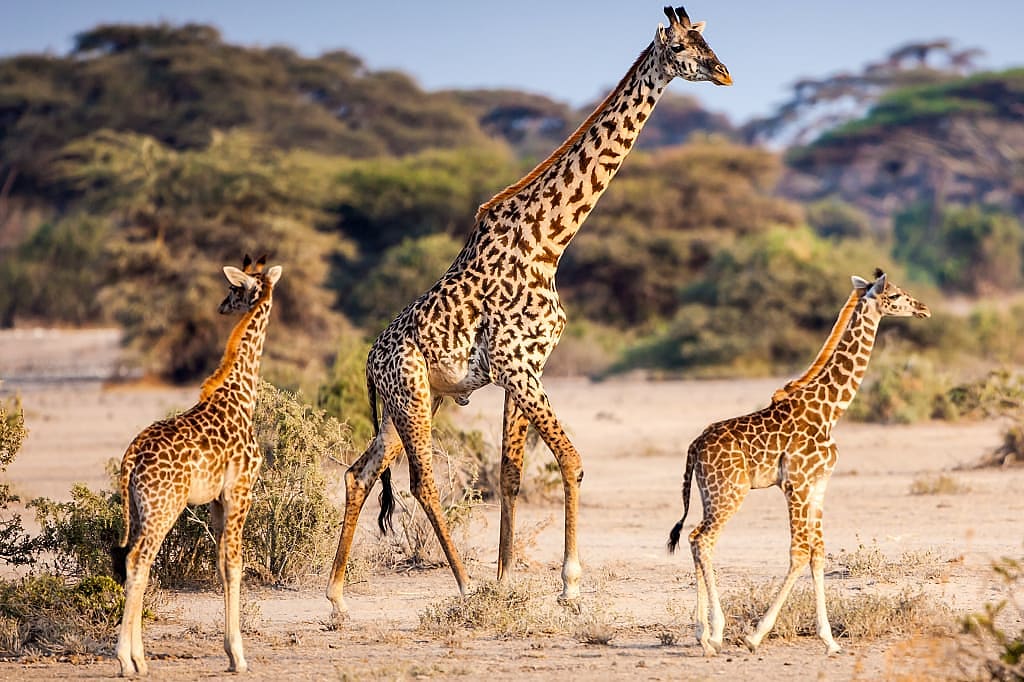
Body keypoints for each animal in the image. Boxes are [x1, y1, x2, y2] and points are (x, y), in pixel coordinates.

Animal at [112, 255, 282, 677]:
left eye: (233, 290)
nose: (221, 306)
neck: (241, 394)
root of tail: (131, 458)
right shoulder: (240, 490)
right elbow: (236, 563)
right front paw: (239, 656)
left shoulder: (217, 501)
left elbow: (222, 565)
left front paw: (230, 652)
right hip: (163, 507)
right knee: (138, 561)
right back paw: (125, 660)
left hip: (139, 509)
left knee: (133, 562)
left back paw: (141, 659)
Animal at [325, 5, 731, 618]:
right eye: (684, 46)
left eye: (710, 41)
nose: (725, 73)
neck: (549, 243)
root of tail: (370, 363)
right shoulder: (517, 366)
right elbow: (571, 460)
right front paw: (567, 586)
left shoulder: (528, 367)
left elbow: (511, 473)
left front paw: (506, 578)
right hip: (413, 395)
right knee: (421, 481)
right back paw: (462, 585)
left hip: (414, 403)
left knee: (358, 474)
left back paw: (338, 599)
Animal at [667, 269, 929, 656]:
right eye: (895, 295)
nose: (924, 308)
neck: (830, 409)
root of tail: (694, 446)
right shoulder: (797, 484)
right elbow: (799, 552)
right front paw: (756, 635)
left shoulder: (818, 485)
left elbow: (818, 552)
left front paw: (830, 641)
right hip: (729, 493)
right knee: (702, 539)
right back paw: (713, 635)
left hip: (708, 492)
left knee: (696, 537)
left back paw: (704, 634)